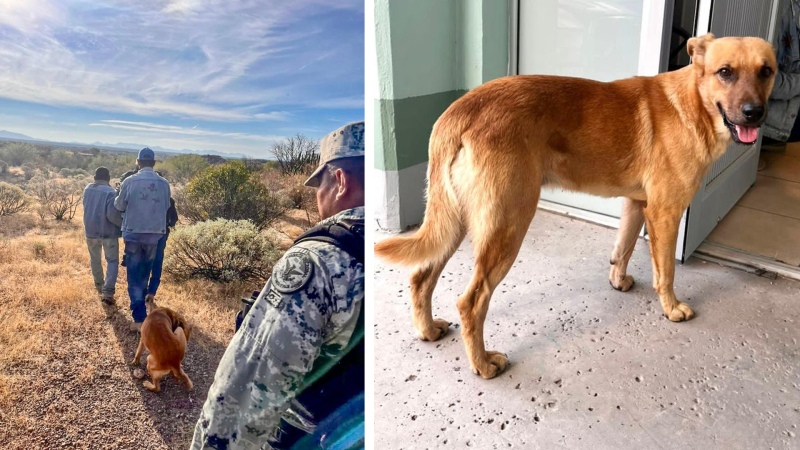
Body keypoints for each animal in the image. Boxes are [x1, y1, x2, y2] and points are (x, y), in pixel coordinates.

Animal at [378, 34, 780, 380]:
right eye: (725, 72)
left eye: (766, 71)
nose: (754, 113)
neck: (693, 103)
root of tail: (461, 109)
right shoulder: (665, 213)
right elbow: (666, 272)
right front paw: (671, 308)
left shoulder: (637, 204)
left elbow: (623, 248)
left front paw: (618, 281)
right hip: (507, 225)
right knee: (471, 302)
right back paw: (483, 364)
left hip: (456, 220)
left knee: (421, 276)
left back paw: (427, 330)